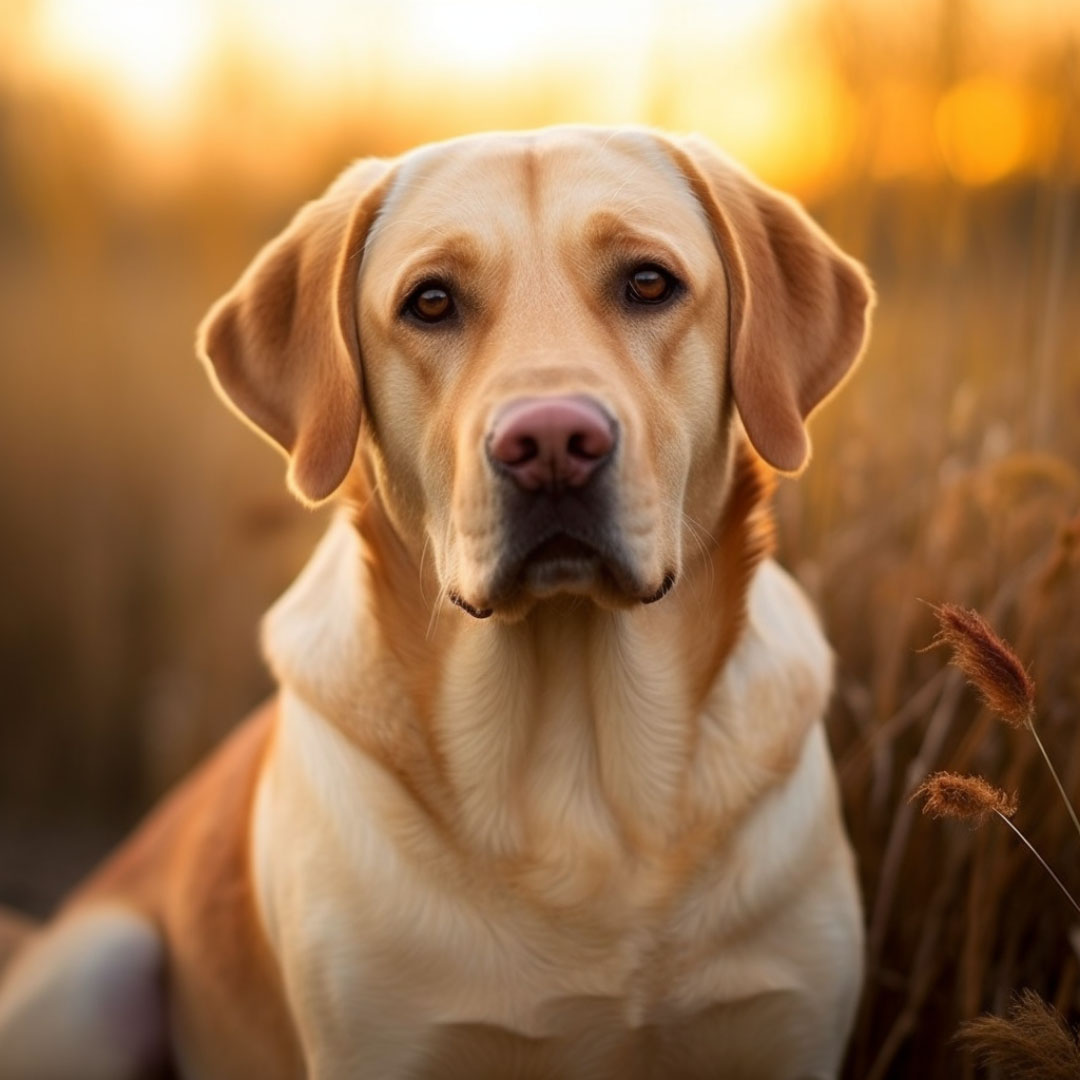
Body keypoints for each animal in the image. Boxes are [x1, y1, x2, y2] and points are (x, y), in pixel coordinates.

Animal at [0, 128, 868, 1080]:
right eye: (431, 302)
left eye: (649, 282)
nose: (552, 443)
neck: (582, 793)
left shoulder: (788, 1032)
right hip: (100, 975)